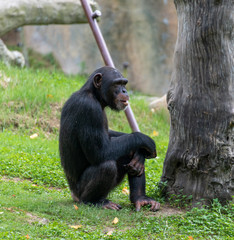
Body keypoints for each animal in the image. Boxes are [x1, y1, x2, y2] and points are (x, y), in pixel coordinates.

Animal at [59, 65, 160, 210]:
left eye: (124, 83)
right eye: (117, 84)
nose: (124, 90)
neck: (95, 95)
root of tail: (73, 195)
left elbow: (110, 136)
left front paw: (140, 155)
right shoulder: (89, 109)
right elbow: (100, 151)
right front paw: (145, 140)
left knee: (127, 152)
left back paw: (140, 198)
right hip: (79, 193)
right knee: (107, 166)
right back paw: (95, 201)